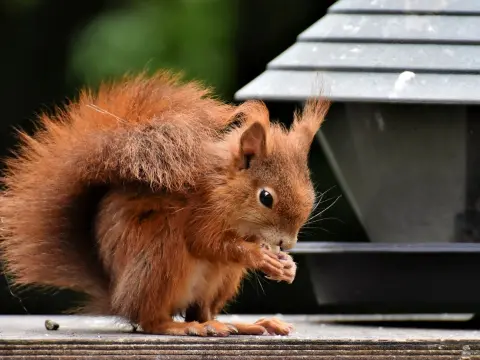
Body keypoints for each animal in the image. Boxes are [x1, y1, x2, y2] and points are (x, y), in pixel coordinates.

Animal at [0, 71, 330, 338]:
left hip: (222, 279)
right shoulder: (201, 211)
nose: (287, 243)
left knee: (203, 311)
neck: (224, 188)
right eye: (266, 197)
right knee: (151, 320)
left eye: (311, 194)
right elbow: (207, 242)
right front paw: (260, 257)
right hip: (162, 258)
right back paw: (183, 327)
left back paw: (247, 324)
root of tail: (118, 296)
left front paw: (286, 267)